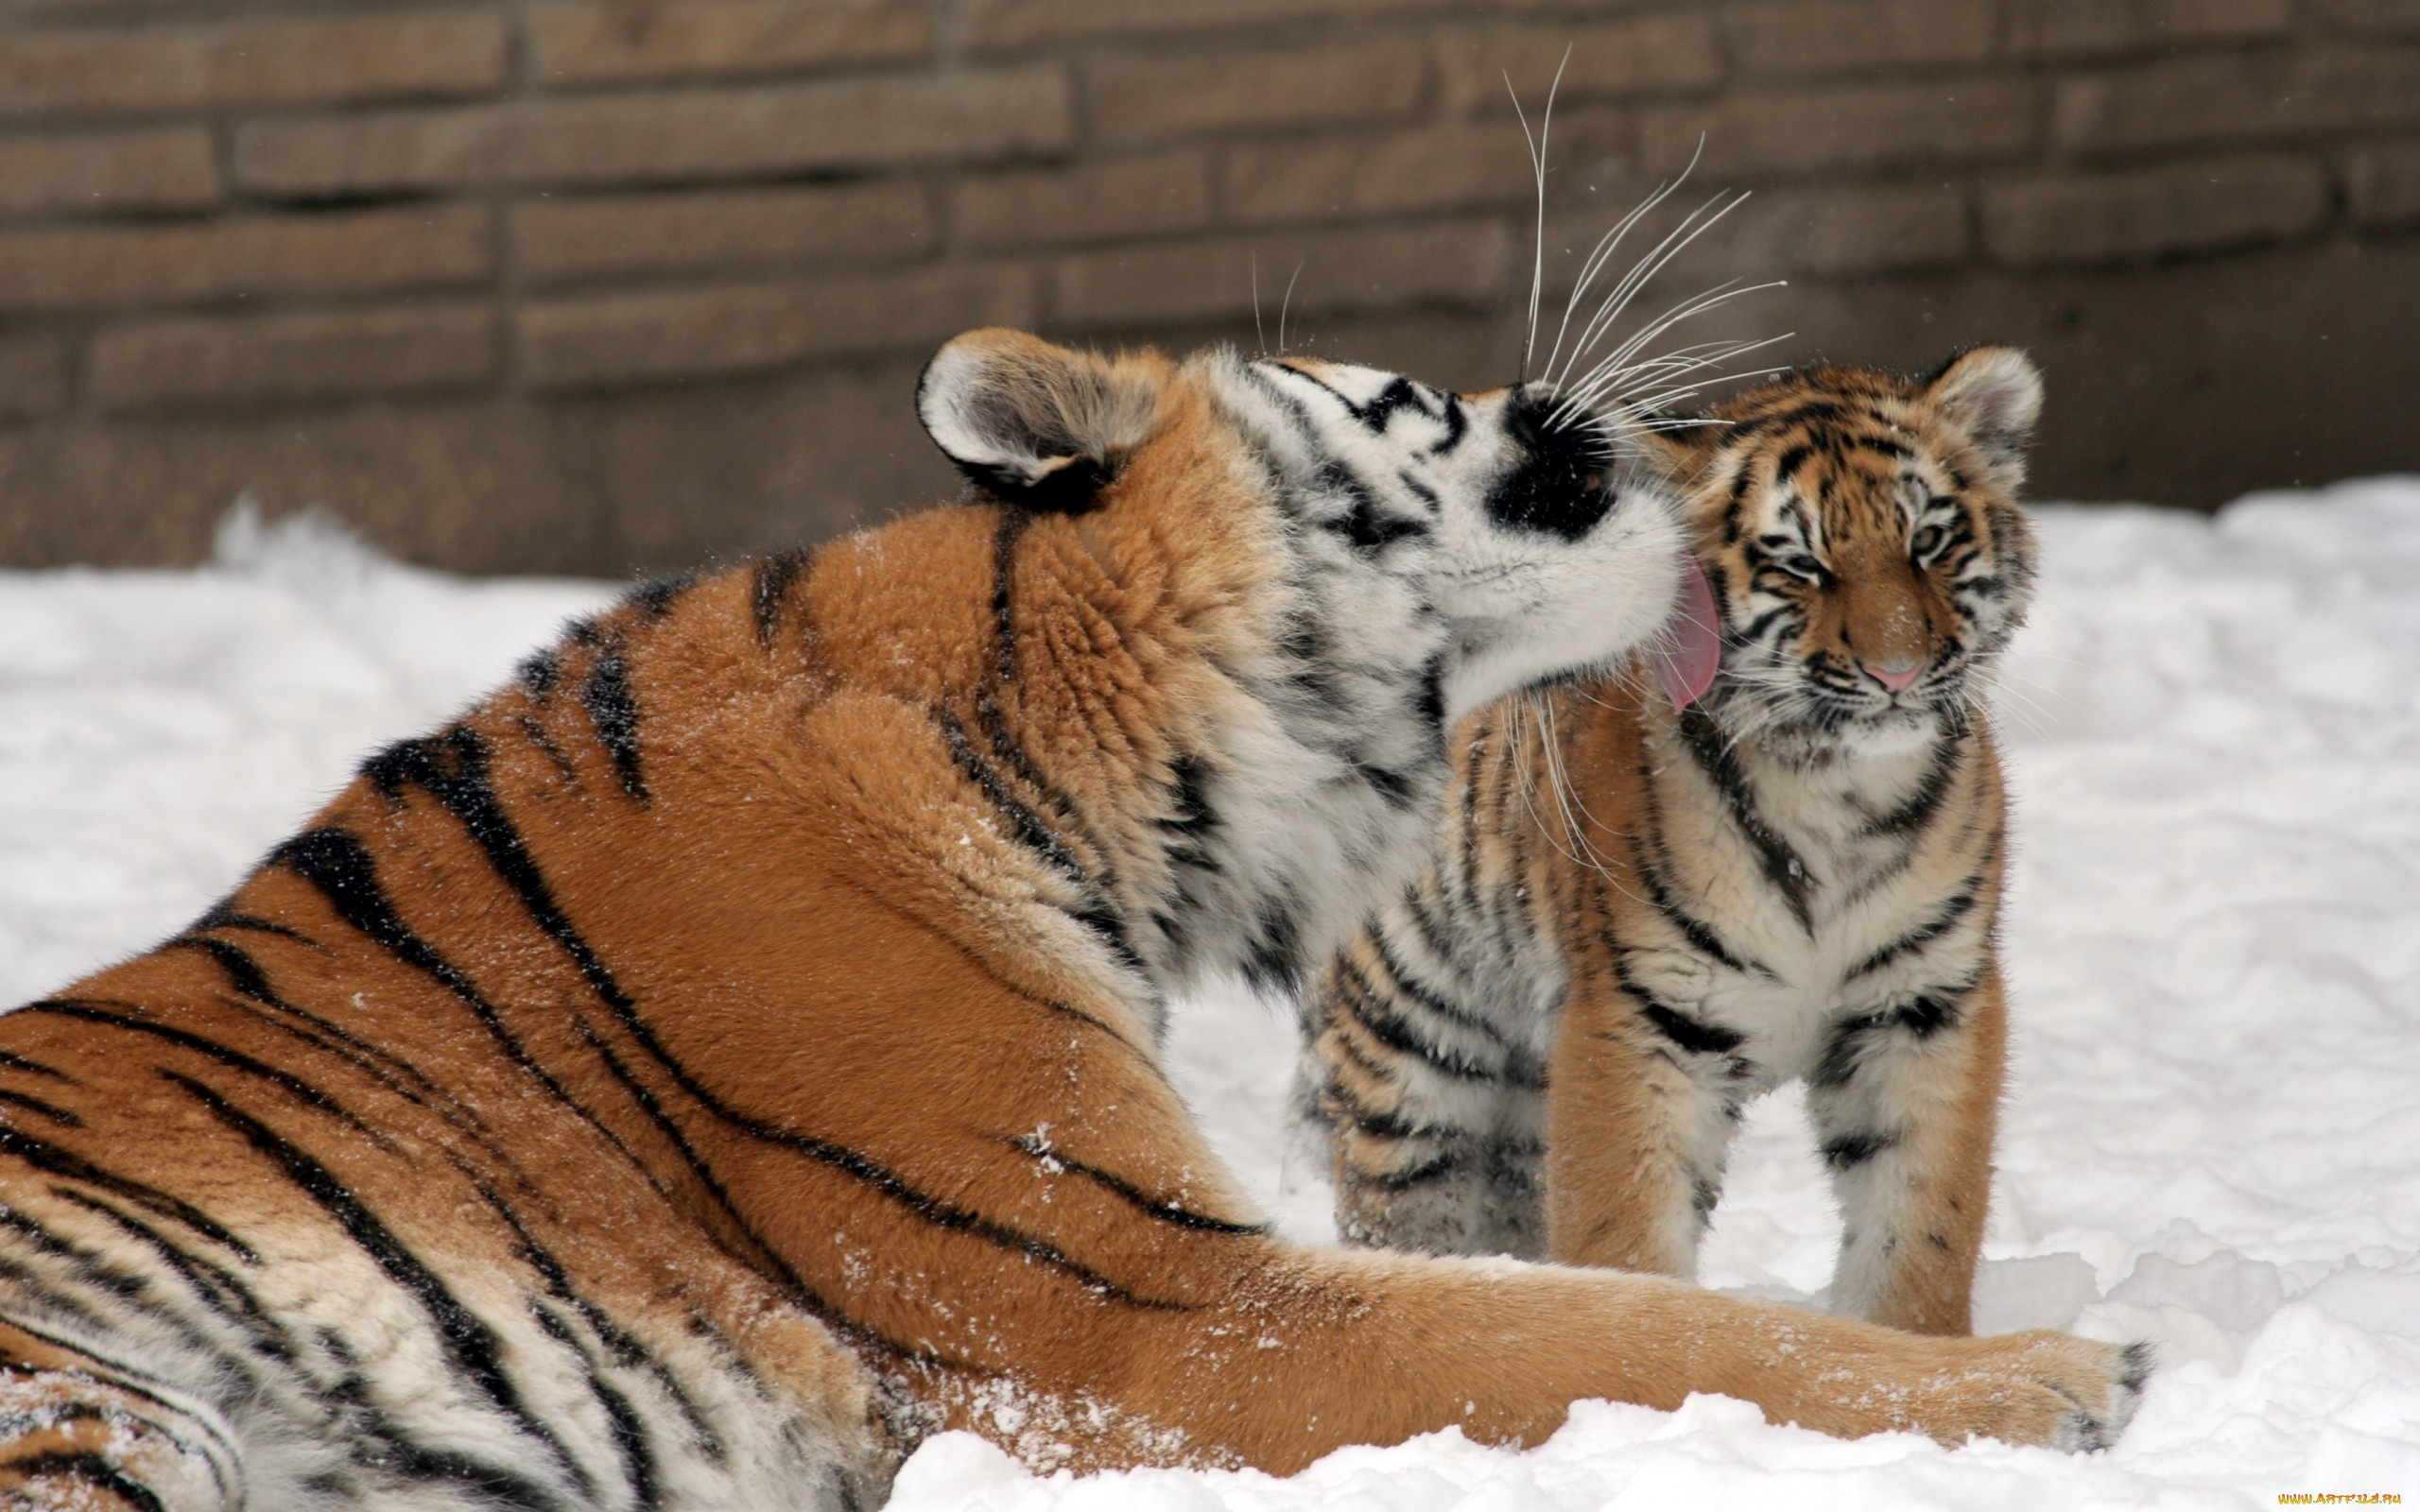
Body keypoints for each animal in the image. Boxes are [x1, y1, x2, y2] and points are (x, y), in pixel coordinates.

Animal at [1316, 351, 2071, 1335]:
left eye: (1929, 542)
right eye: (1801, 564)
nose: (1898, 671)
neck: (1835, 789)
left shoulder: (1924, 1005)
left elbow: (1920, 1220)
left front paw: (1919, 1349)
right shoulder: (1640, 1020)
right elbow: (1625, 1234)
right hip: (1410, 1044)